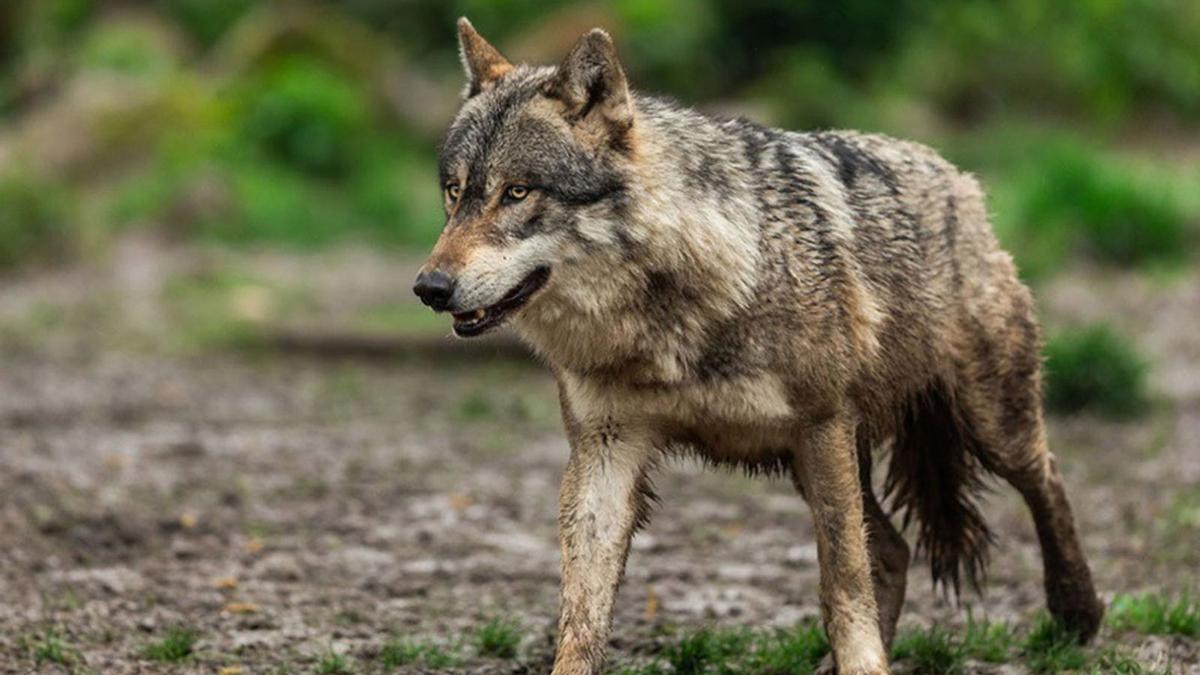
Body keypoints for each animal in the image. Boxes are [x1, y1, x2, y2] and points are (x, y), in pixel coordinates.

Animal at [415, 18, 1104, 667]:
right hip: (816, 460)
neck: (672, 313)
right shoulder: (604, 448)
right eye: (454, 192)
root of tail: (958, 178)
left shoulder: (820, 426)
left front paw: (866, 664)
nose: (429, 287)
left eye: (517, 192)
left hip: (983, 426)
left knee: (1047, 479)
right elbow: (582, 609)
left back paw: (1078, 610)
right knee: (895, 547)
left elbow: (842, 582)